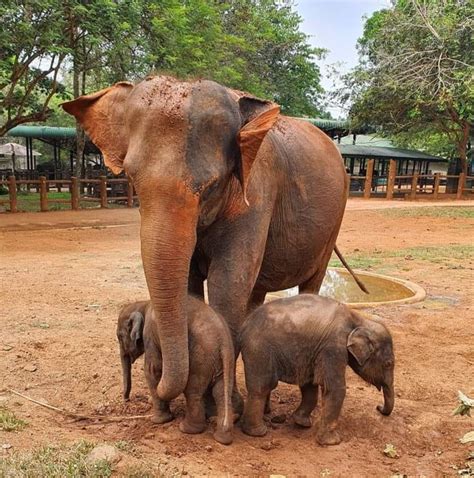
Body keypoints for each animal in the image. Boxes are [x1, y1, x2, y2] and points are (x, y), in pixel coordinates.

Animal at [62, 75, 348, 404]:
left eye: (211, 186)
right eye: (132, 179)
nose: (145, 385)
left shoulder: (258, 193)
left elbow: (227, 284)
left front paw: (228, 405)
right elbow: (190, 282)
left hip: (334, 220)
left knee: (308, 282)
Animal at [239, 294, 394, 446]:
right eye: (388, 364)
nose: (379, 407)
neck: (358, 319)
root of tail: (245, 324)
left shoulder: (313, 352)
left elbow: (309, 383)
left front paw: (301, 423)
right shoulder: (333, 348)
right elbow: (335, 388)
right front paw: (333, 442)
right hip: (259, 350)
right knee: (261, 388)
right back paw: (258, 432)